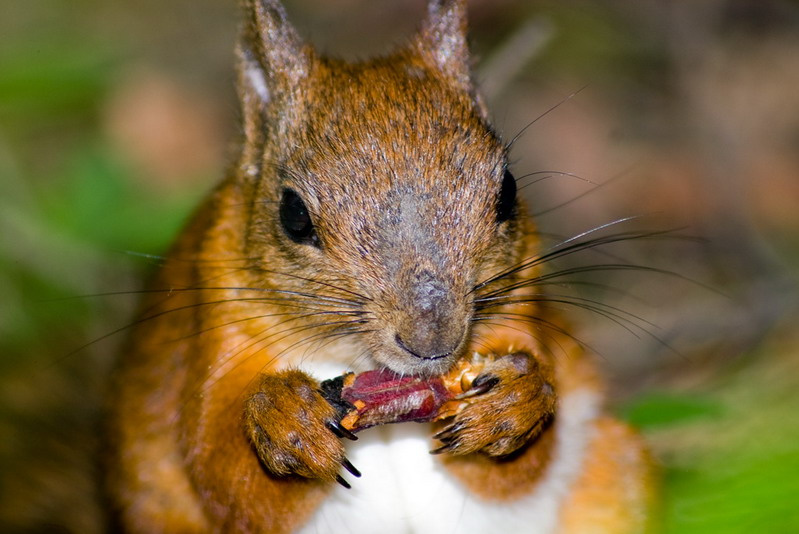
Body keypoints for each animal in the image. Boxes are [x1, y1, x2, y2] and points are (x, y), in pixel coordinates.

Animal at [107, 0, 655, 532]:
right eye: (293, 214)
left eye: (507, 191)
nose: (432, 341)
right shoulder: (218, 332)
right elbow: (226, 478)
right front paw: (286, 418)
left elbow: (521, 471)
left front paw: (516, 402)